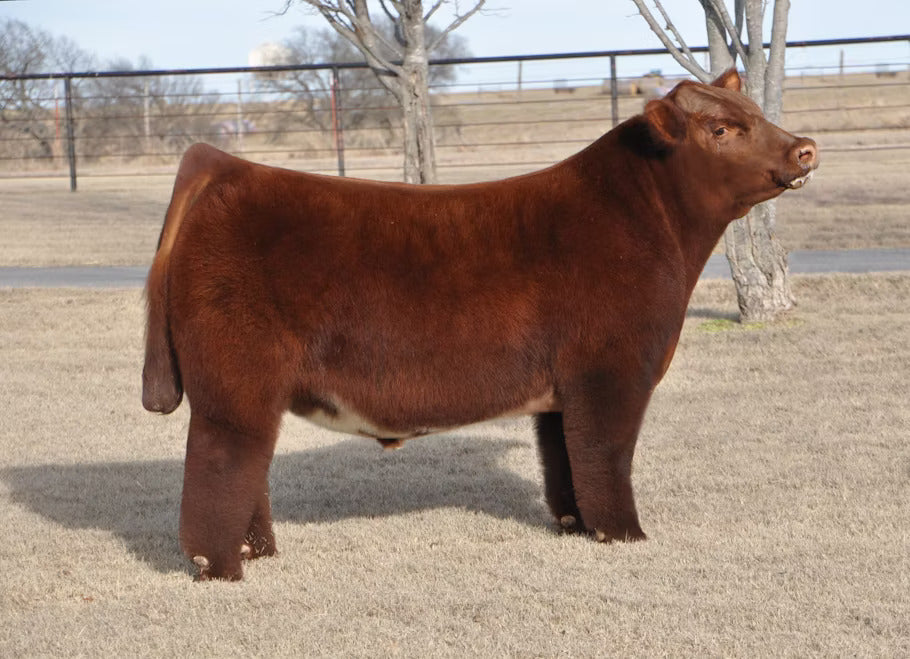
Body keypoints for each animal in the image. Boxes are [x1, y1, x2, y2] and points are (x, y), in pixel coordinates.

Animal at [142, 70, 818, 580]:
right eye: (722, 129)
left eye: (755, 111)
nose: (804, 147)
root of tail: (229, 168)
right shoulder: (612, 373)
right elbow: (606, 453)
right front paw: (626, 535)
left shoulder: (563, 391)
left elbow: (566, 461)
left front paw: (576, 529)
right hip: (234, 387)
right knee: (221, 466)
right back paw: (223, 568)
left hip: (246, 393)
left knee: (248, 470)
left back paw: (259, 550)